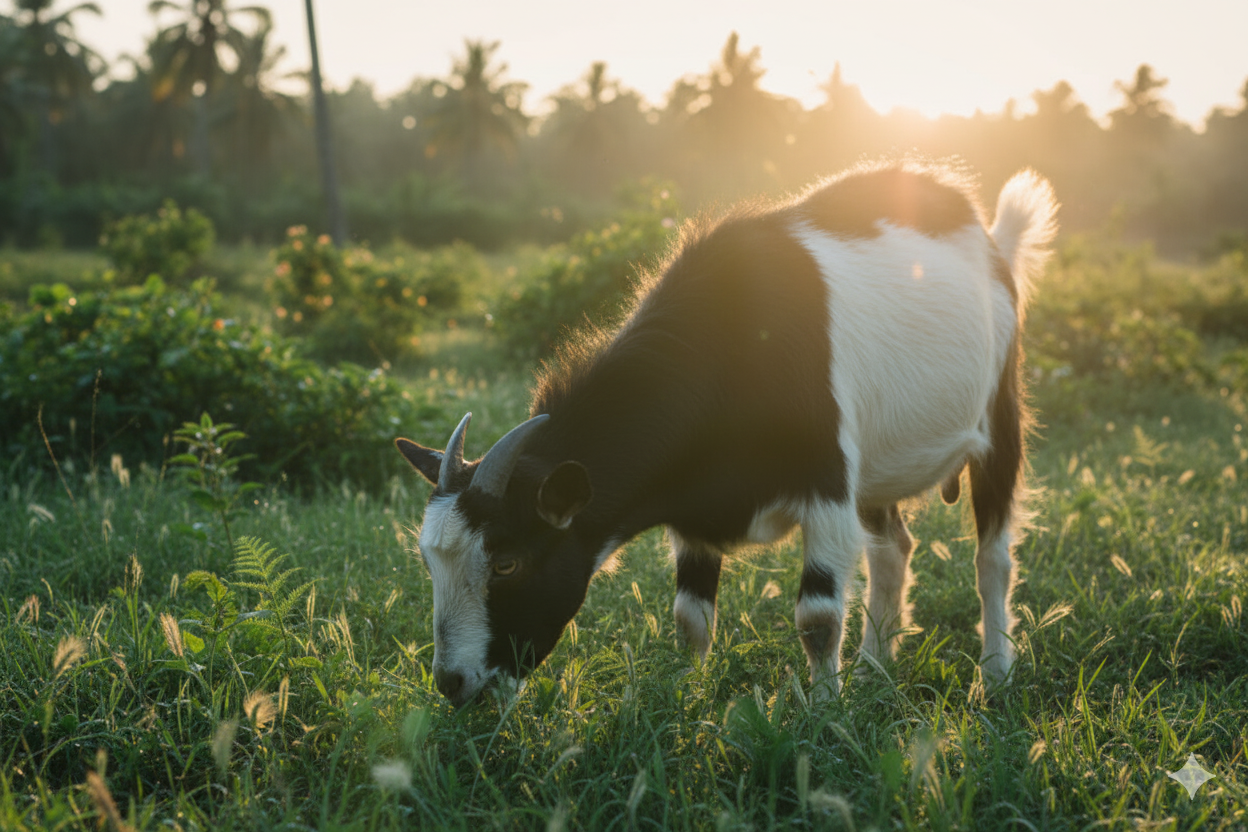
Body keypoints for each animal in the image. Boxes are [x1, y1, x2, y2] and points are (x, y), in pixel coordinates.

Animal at [396, 160, 1058, 707]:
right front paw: (685, 703)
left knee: (992, 557)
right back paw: (875, 670)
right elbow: (691, 618)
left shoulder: (826, 485)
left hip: (999, 417)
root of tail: (990, 236)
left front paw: (826, 716)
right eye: (427, 562)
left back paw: (994, 677)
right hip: (874, 469)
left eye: (507, 563)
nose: (455, 683)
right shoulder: (697, 514)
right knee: (893, 548)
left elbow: (817, 618)